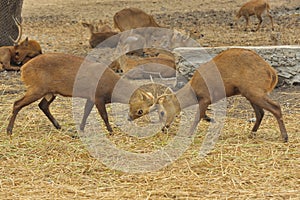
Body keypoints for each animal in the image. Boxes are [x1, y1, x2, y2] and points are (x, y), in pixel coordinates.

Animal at [5, 52, 158, 135]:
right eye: (140, 111)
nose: (130, 118)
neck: (110, 87)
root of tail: (23, 69)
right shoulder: (98, 97)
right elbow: (104, 115)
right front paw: (111, 131)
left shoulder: (90, 98)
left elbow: (86, 112)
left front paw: (81, 128)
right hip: (37, 88)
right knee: (17, 103)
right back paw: (9, 130)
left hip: (50, 92)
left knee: (42, 105)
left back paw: (58, 126)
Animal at [127, 48, 288, 142]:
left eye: (161, 112)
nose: (164, 128)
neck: (193, 90)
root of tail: (272, 73)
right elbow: (203, 115)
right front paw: (211, 120)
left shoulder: (206, 97)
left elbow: (198, 115)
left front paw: (189, 134)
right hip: (249, 93)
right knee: (260, 113)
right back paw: (252, 133)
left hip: (254, 90)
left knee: (276, 107)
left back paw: (284, 137)